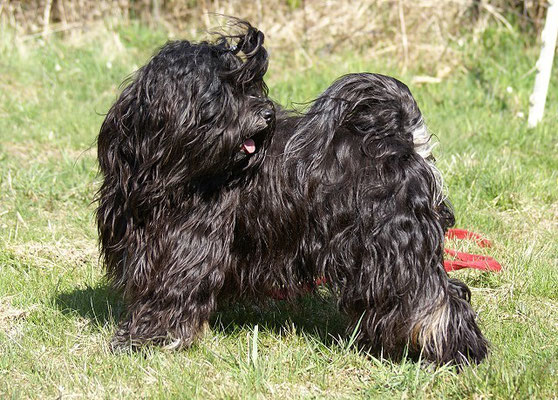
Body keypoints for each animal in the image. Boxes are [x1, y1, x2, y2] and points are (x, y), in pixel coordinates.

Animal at [96, 21, 490, 366]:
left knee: (435, 298)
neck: (163, 166)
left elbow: (169, 292)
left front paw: (147, 340)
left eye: (250, 86)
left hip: (391, 248)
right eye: (226, 91)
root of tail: (403, 141)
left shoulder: (185, 244)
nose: (267, 113)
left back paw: (458, 353)